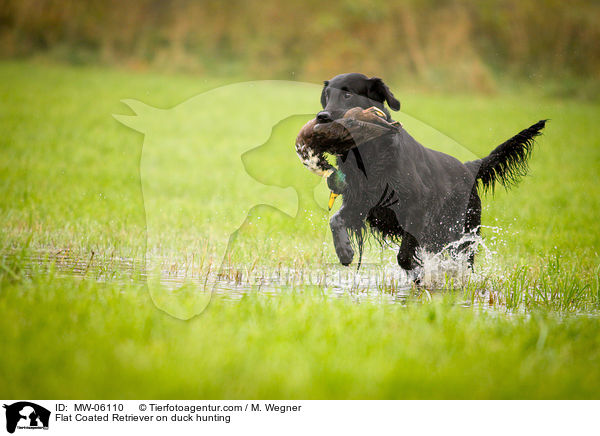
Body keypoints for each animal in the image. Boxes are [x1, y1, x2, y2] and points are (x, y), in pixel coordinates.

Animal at [316, 71, 548, 276]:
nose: (322, 116)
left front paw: (417, 272)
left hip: (462, 231)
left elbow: (404, 255)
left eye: (347, 95)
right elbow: (335, 220)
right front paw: (344, 251)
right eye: (326, 96)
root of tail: (468, 167)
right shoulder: (361, 203)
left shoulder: (417, 208)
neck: (372, 153)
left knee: (464, 259)